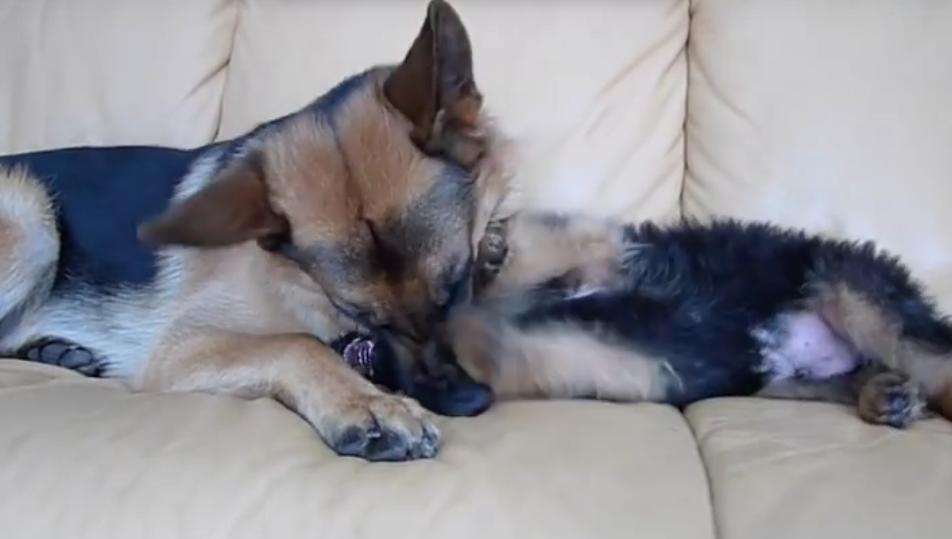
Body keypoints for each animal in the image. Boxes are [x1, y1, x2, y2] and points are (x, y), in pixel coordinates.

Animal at [0, 1, 512, 464]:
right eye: (364, 317)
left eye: (455, 286)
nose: (468, 402)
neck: (296, 282)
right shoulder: (179, 348)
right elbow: (297, 343)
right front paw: (367, 405)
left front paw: (494, 247)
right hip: (30, 215)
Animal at [436, 213, 952, 428]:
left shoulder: (612, 257)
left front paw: (493, 255)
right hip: (787, 380)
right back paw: (889, 396)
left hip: (858, 298)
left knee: (935, 359)